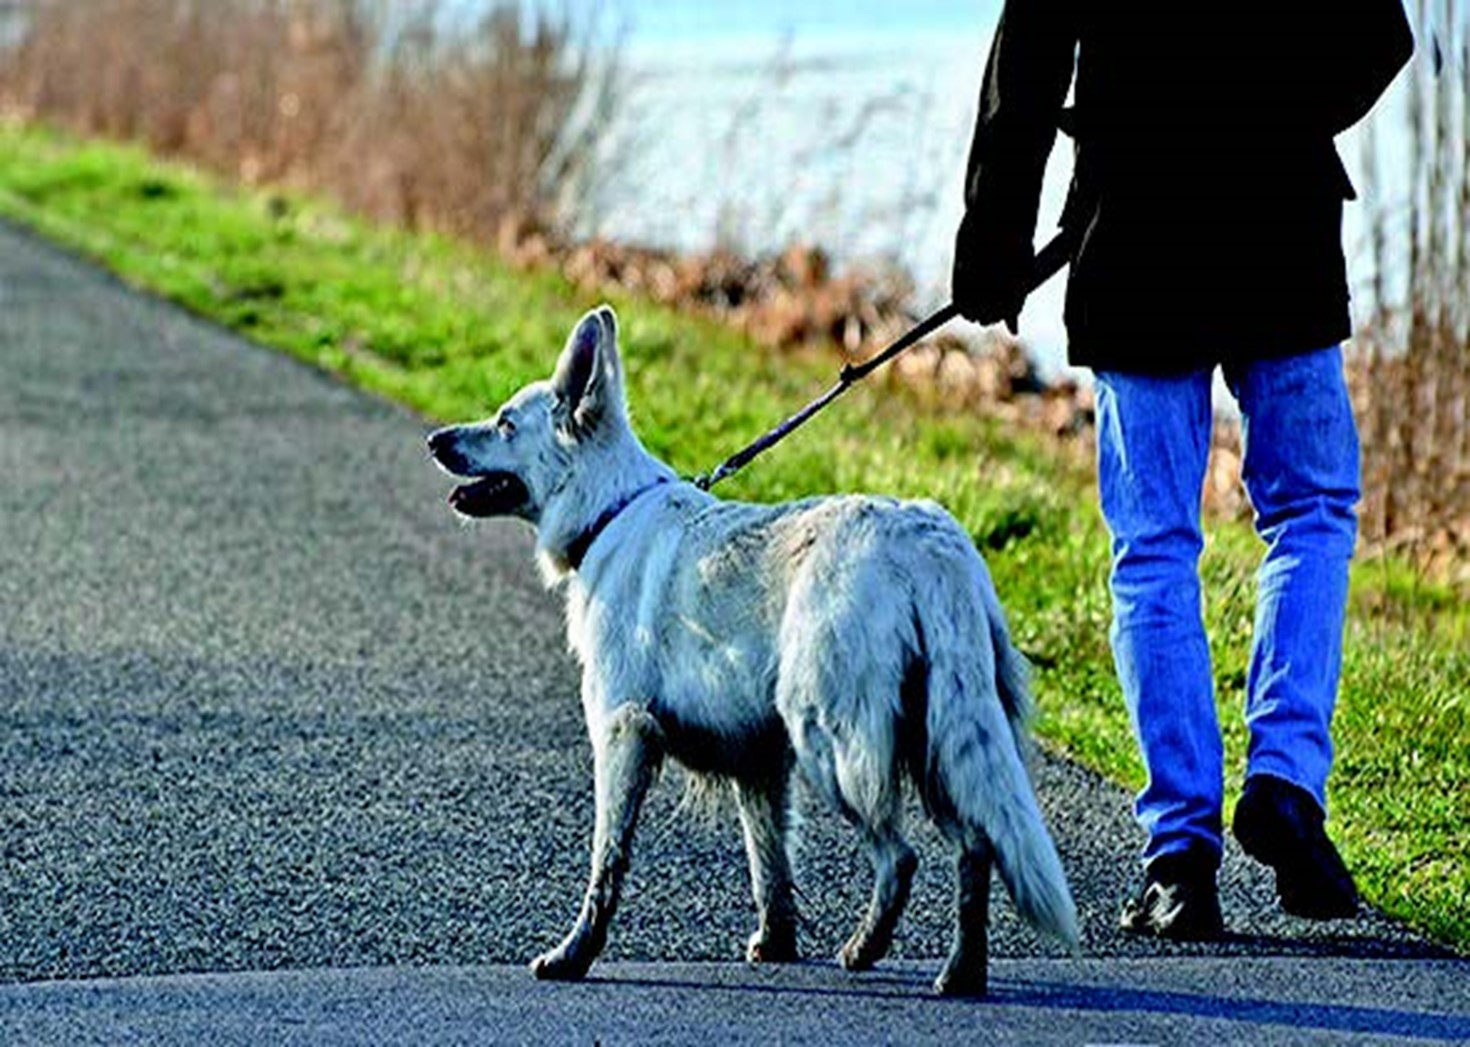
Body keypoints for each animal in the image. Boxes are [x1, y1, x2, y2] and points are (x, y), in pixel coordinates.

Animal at [429, 304, 1076, 999]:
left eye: (503, 423)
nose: (435, 441)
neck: (609, 511)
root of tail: (929, 545)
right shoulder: (758, 764)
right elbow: (770, 865)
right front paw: (777, 944)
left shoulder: (623, 734)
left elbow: (608, 861)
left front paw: (575, 954)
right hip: (939, 740)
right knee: (976, 847)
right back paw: (962, 970)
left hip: (832, 743)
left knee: (901, 856)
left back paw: (867, 946)